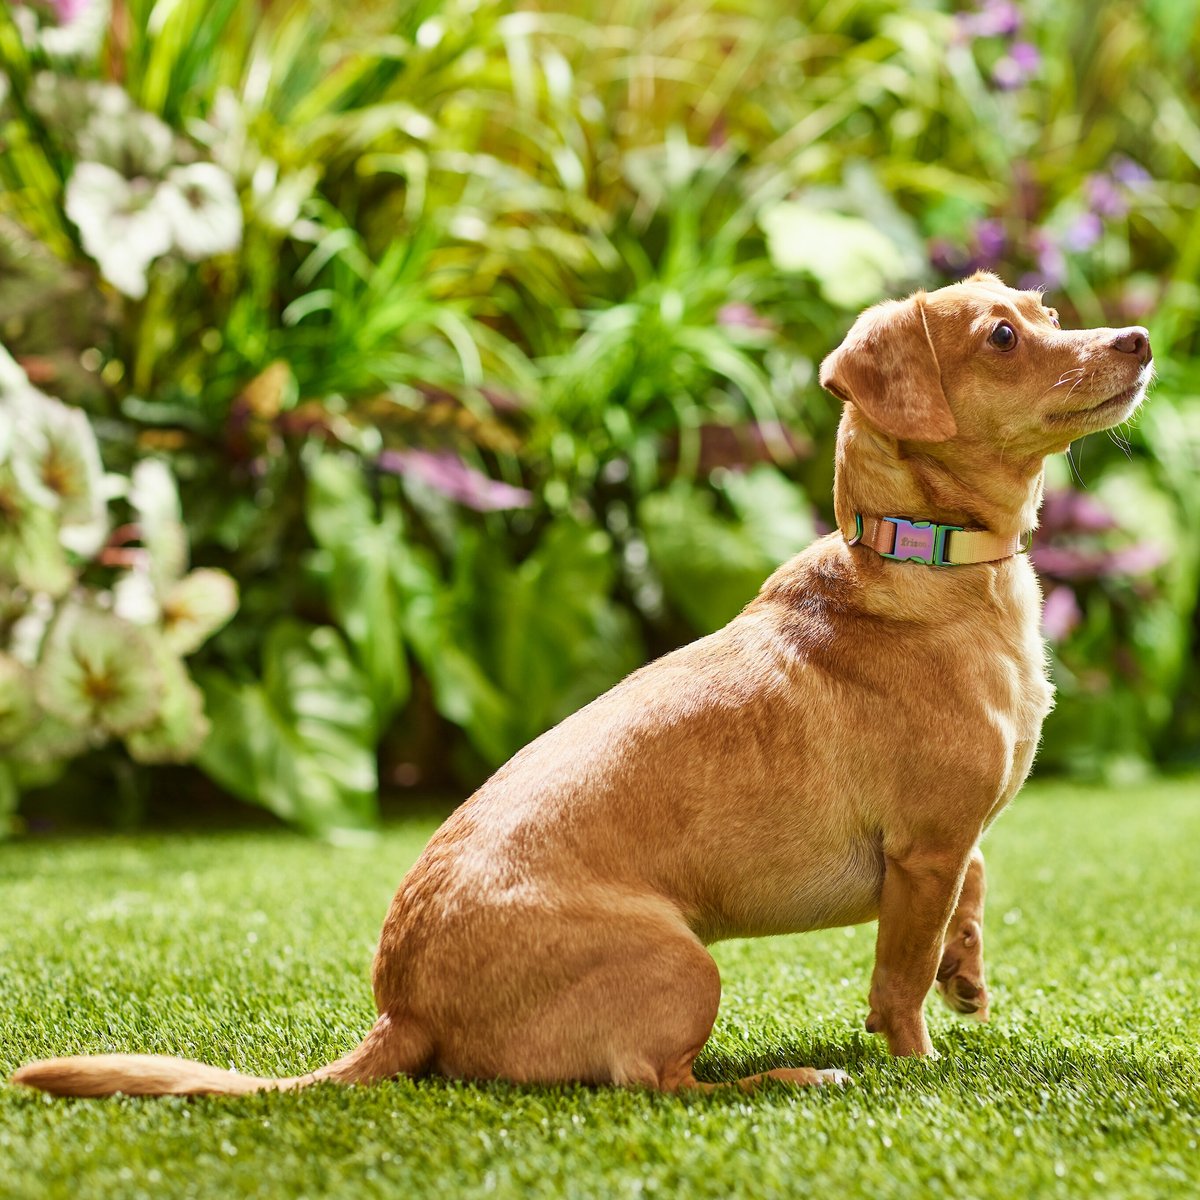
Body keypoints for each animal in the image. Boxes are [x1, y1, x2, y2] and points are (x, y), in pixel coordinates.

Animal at [11, 272, 1152, 1099]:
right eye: (1001, 337)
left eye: (1049, 313)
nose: (1139, 338)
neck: (928, 566)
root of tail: (400, 1009)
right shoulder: (919, 853)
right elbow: (897, 983)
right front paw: (920, 1061)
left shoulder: (951, 843)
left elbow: (973, 889)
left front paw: (970, 973)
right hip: (687, 967)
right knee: (660, 1084)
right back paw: (793, 1079)